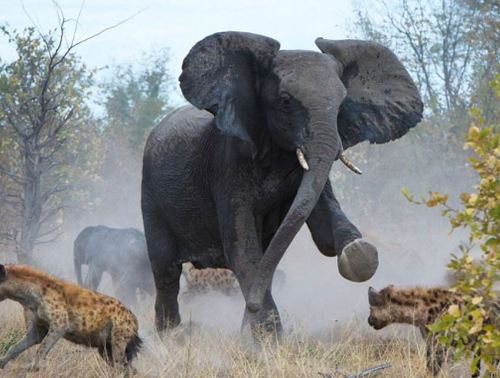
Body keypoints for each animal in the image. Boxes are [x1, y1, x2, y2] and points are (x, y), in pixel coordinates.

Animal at [0, 264, 143, 374]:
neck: (28, 296)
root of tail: (134, 318)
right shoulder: (37, 329)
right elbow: (16, 347)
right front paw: (2, 362)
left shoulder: (60, 324)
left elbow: (42, 347)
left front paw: (34, 368)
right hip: (104, 347)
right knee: (127, 368)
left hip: (119, 338)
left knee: (120, 365)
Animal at [141, 31, 422, 336]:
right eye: (285, 101)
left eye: (341, 104)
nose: (250, 307)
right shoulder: (227, 165)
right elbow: (242, 250)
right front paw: (265, 338)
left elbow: (325, 231)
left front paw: (359, 252)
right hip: (150, 194)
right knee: (166, 271)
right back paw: (170, 335)